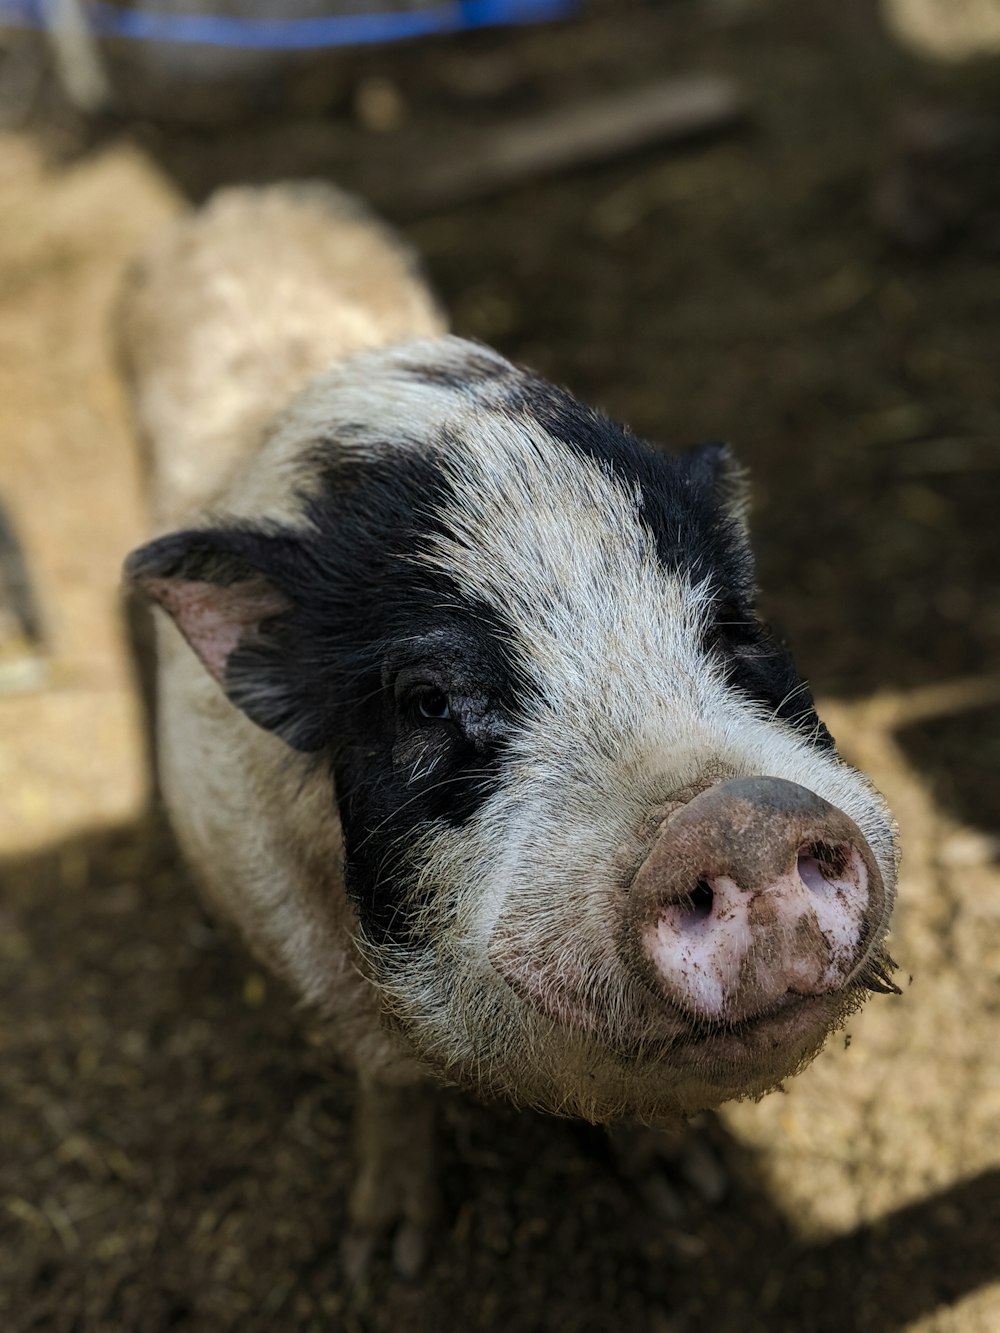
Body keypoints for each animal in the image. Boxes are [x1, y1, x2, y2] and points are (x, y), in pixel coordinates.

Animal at [121, 182, 906, 1274]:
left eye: (729, 630)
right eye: (425, 700)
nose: (741, 816)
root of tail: (244, 201)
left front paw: (691, 1189)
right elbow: (390, 1081)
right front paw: (387, 1258)